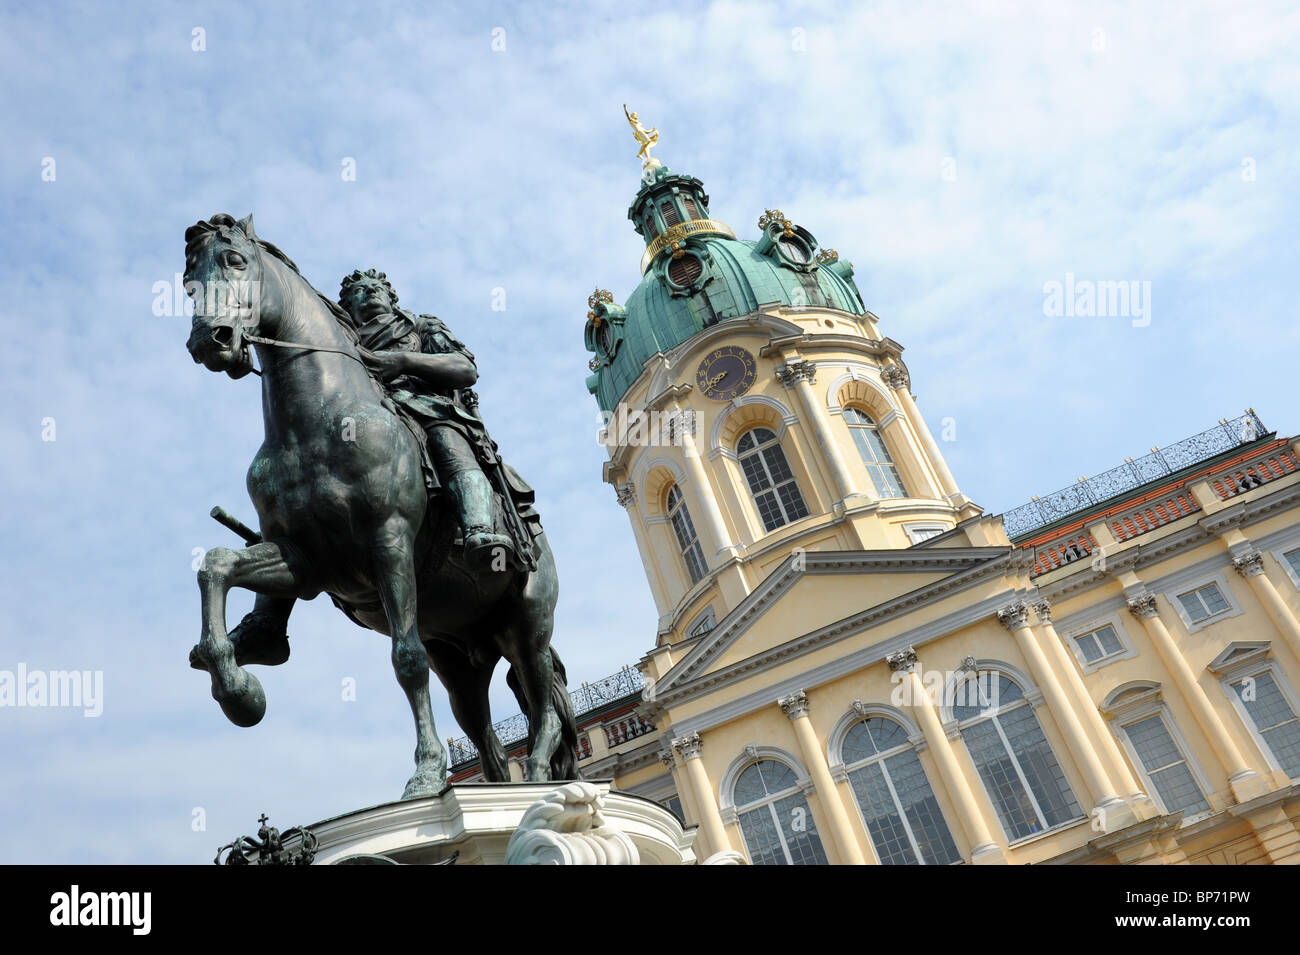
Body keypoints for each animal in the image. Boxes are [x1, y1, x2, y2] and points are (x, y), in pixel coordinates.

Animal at [182, 214, 574, 800]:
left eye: (234, 261)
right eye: (187, 282)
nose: (210, 340)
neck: (320, 422)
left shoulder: (388, 541)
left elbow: (405, 660)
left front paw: (426, 773)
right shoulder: (303, 560)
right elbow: (217, 565)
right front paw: (238, 688)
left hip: (528, 623)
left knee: (543, 707)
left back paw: (541, 778)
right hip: (459, 656)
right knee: (486, 737)